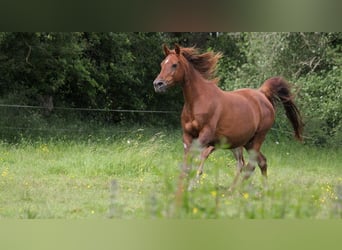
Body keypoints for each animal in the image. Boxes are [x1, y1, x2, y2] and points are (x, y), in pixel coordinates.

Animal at [154, 43, 304, 191]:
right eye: (162, 64)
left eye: (174, 64)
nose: (158, 84)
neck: (198, 101)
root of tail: (262, 94)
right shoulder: (187, 136)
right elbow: (186, 165)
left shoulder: (205, 137)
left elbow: (197, 161)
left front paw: (191, 186)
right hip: (246, 142)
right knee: (259, 162)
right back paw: (257, 190)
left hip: (258, 138)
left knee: (250, 165)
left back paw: (235, 192)